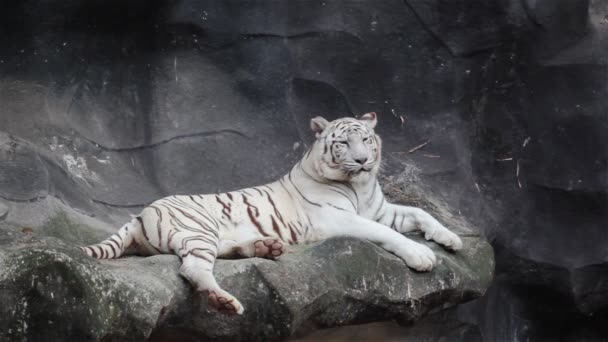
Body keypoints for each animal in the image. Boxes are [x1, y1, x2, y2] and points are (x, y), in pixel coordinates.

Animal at [79, 113, 460, 316]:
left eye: (367, 139)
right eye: (343, 144)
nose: (364, 160)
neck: (361, 185)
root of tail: (142, 213)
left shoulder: (380, 209)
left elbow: (420, 212)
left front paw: (451, 239)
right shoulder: (338, 219)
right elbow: (388, 234)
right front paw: (422, 256)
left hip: (213, 235)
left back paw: (267, 247)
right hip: (199, 229)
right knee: (193, 269)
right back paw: (225, 300)